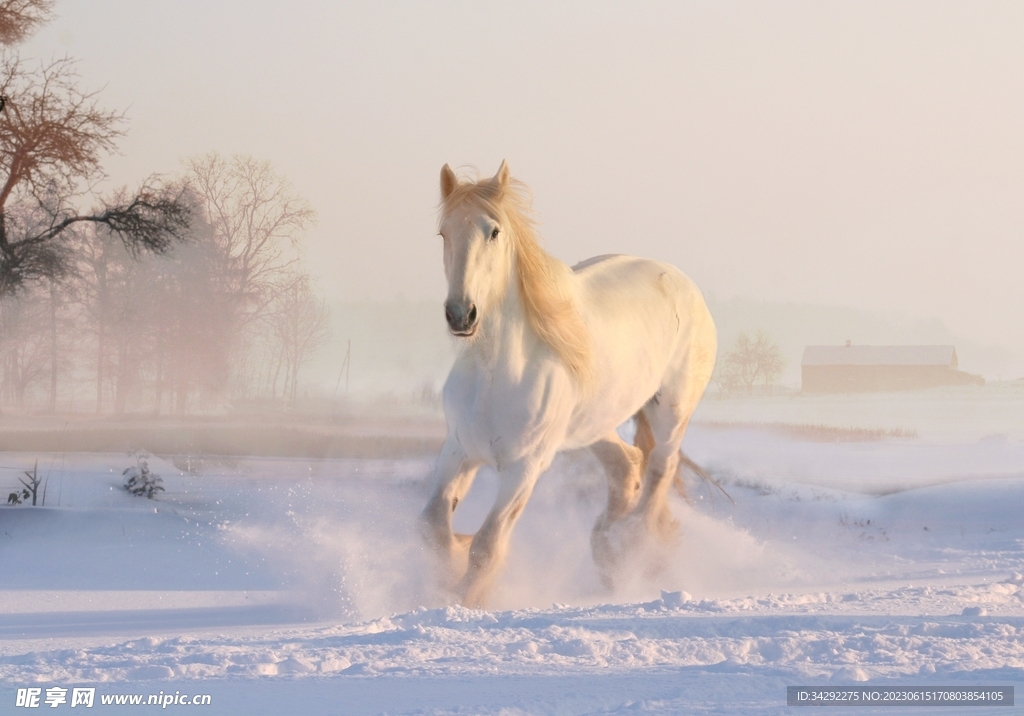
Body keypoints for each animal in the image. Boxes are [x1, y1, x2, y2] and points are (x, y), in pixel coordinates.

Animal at [420, 161, 717, 607]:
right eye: (443, 233)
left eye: (494, 231)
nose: (461, 314)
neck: (495, 375)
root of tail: (684, 284)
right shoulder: (458, 450)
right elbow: (434, 528)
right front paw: (450, 568)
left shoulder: (525, 468)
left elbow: (487, 546)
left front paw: (466, 598)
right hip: (594, 424)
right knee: (627, 466)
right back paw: (608, 550)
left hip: (671, 411)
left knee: (660, 470)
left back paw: (631, 548)